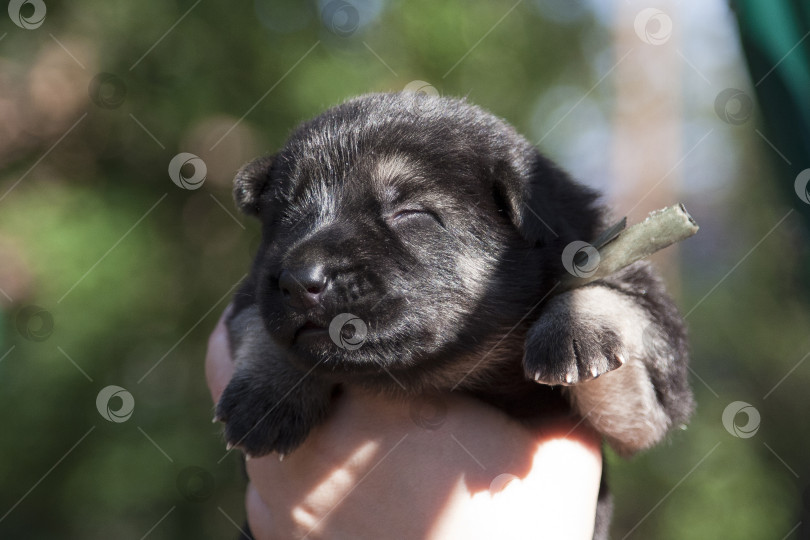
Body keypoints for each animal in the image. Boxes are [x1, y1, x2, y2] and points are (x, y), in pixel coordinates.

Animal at [216, 92, 696, 536]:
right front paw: (269, 388)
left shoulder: (645, 404)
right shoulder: (253, 291)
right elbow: (258, 323)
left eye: (410, 213)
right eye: (287, 218)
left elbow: (613, 292)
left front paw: (575, 326)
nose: (300, 280)